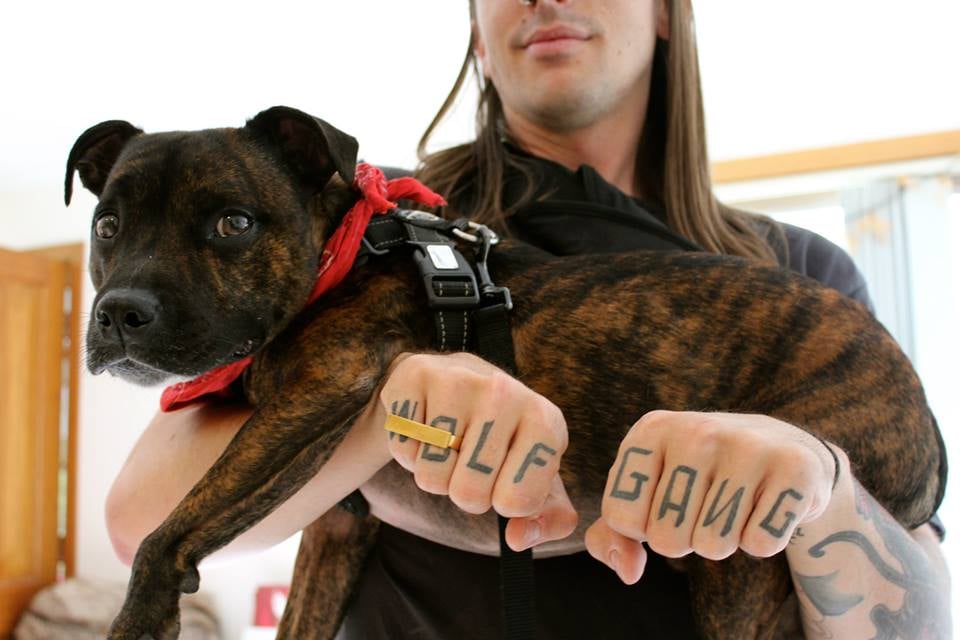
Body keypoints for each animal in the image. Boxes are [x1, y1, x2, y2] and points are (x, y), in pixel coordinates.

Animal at [67, 107, 944, 636]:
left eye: (234, 223)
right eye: (106, 226)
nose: (120, 313)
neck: (348, 251)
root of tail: (928, 423)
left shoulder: (324, 391)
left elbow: (168, 528)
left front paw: (139, 616)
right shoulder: (336, 525)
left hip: (742, 557)